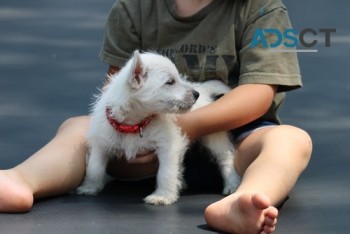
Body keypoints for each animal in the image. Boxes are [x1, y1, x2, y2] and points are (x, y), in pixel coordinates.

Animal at [76, 50, 241, 204]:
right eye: (170, 82)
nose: (196, 94)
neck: (135, 123)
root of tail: (203, 90)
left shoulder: (168, 145)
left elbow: (165, 172)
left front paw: (163, 196)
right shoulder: (101, 143)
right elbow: (94, 167)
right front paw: (89, 187)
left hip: (214, 137)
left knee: (225, 157)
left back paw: (232, 183)